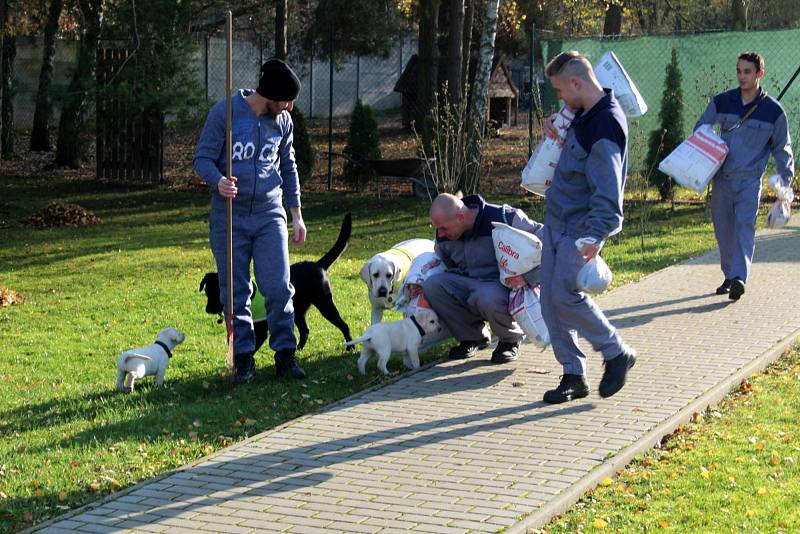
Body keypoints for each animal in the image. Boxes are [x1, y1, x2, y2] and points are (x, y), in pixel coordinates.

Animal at [200, 214, 354, 356]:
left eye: (217, 294)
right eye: (207, 293)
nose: (208, 309)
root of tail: (317, 264)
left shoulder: (261, 330)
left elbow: (252, 346)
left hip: (324, 303)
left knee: (344, 325)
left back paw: (350, 346)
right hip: (297, 311)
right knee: (305, 330)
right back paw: (297, 349)